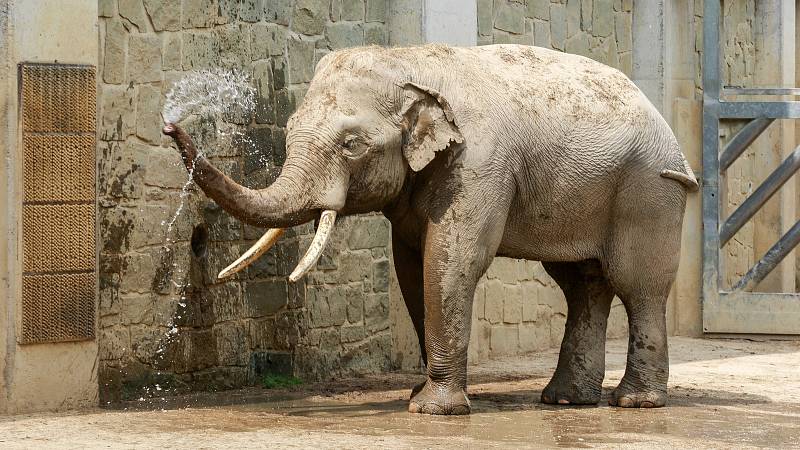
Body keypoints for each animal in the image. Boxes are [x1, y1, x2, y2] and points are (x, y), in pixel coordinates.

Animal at [161, 44, 692, 416]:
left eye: (352, 144)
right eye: (289, 132)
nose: (169, 125)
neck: (410, 60)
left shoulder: (478, 165)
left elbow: (451, 259)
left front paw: (432, 410)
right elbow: (411, 264)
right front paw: (418, 395)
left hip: (650, 190)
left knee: (637, 286)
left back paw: (635, 403)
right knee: (582, 283)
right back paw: (564, 401)